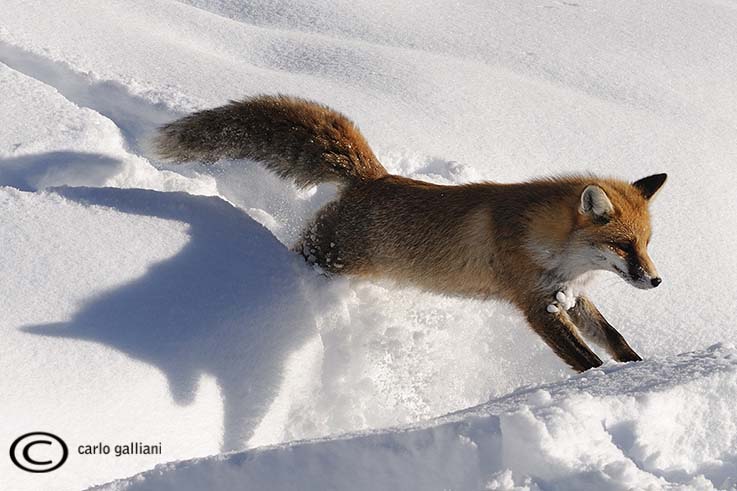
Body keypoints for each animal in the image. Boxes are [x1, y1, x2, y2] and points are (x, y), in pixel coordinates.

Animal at [155, 95, 668, 372]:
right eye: (623, 245)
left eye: (645, 244)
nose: (656, 281)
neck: (551, 246)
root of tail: (373, 177)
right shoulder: (535, 302)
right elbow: (586, 359)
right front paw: (607, 387)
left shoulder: (570, 294)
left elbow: (615, 339)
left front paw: (643, 369)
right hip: (325, 258)